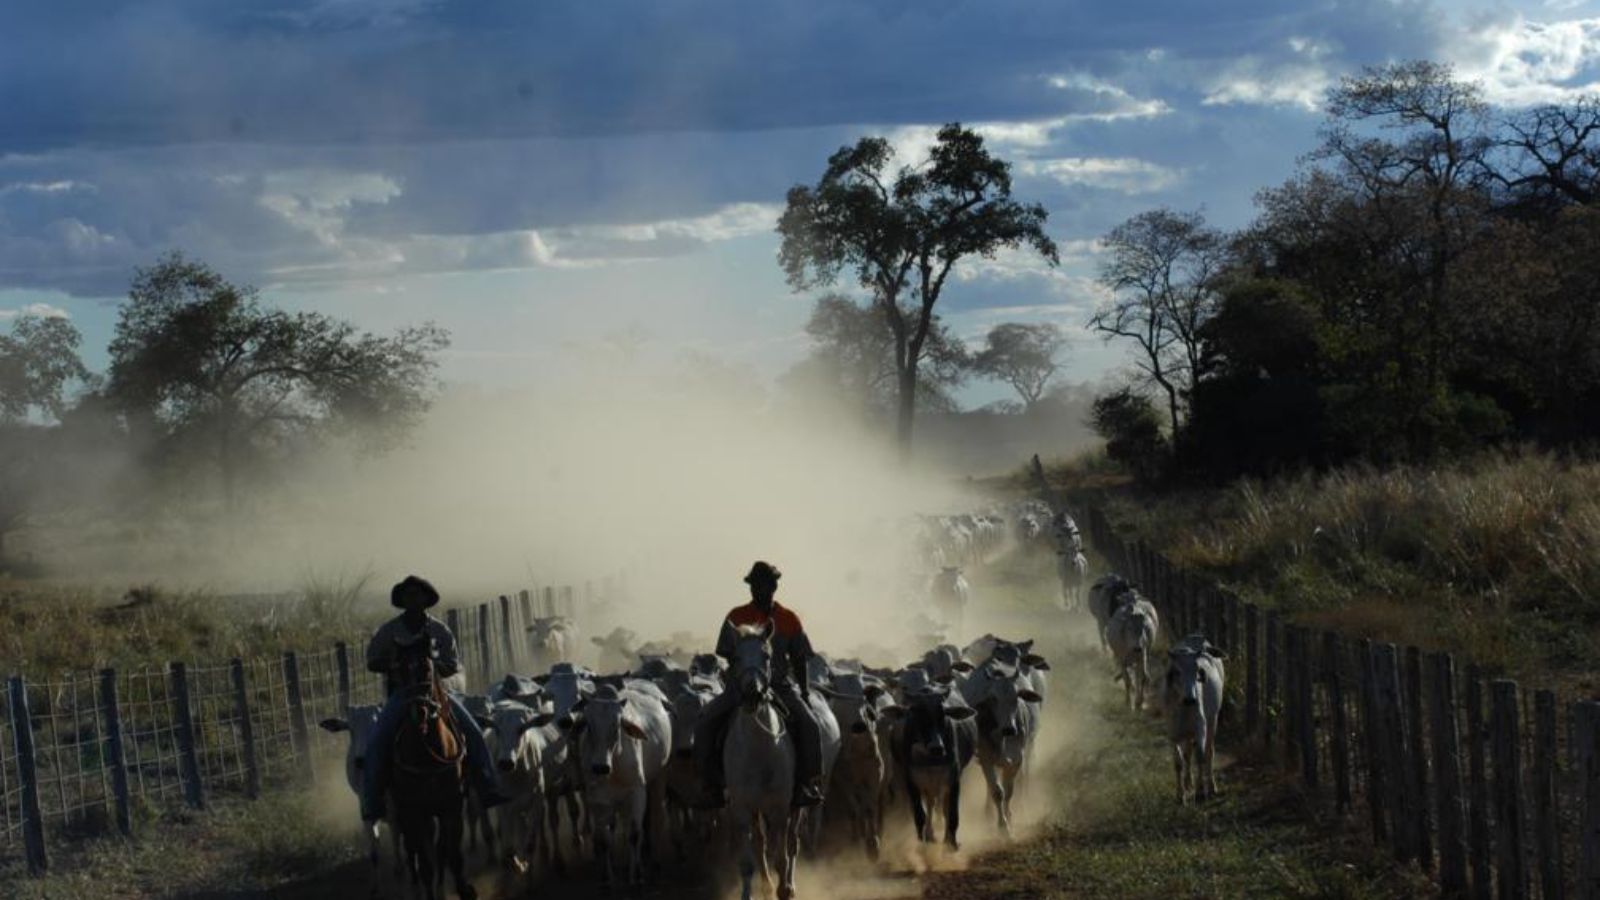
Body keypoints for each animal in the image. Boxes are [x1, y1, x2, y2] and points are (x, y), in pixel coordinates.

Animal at [1164, 634, 1222, 800]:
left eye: (1197, 670)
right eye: (1177, 671)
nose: (1191, 699)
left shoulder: (1200, 728)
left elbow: (1200, 756)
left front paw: (1200, 791)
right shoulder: (1173, 733)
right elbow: (1178, 762)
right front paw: (1180, 795)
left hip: (1213, 721)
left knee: (1209, 752)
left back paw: (1212, 786)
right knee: (1187, 753)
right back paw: (1188, 782)